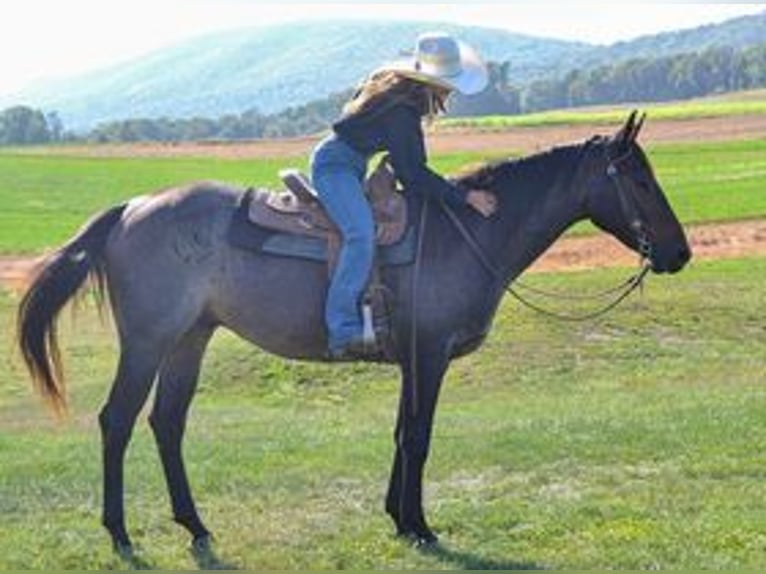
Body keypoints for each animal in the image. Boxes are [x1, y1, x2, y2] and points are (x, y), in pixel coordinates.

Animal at [16, 111, 688, 560]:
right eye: (641, 180)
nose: (679, 252)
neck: (466, 233)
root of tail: (130, 208)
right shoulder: (430, 355)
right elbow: (418, 438)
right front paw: (421, 526)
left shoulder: (413, 360)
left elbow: (401, 435)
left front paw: (398, 518)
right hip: (149, 342)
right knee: (117, 422)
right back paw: (120, 534)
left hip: (190, 338)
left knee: (167, 423)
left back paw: (196, 527)